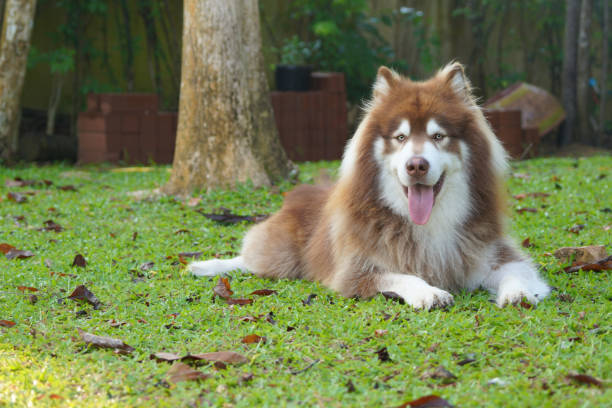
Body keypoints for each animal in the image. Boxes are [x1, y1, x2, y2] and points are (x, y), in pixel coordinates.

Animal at [190, 62, 548, 310]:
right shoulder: (356, 270)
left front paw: (518, 293)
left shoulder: (491, 251)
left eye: (438, 136)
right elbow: (400, 275)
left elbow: (518, 271)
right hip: (281, 256)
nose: (416, 165)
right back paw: (206, 265)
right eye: (401, 137)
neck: (429, 222)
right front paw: (429, 291)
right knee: (250, 258)